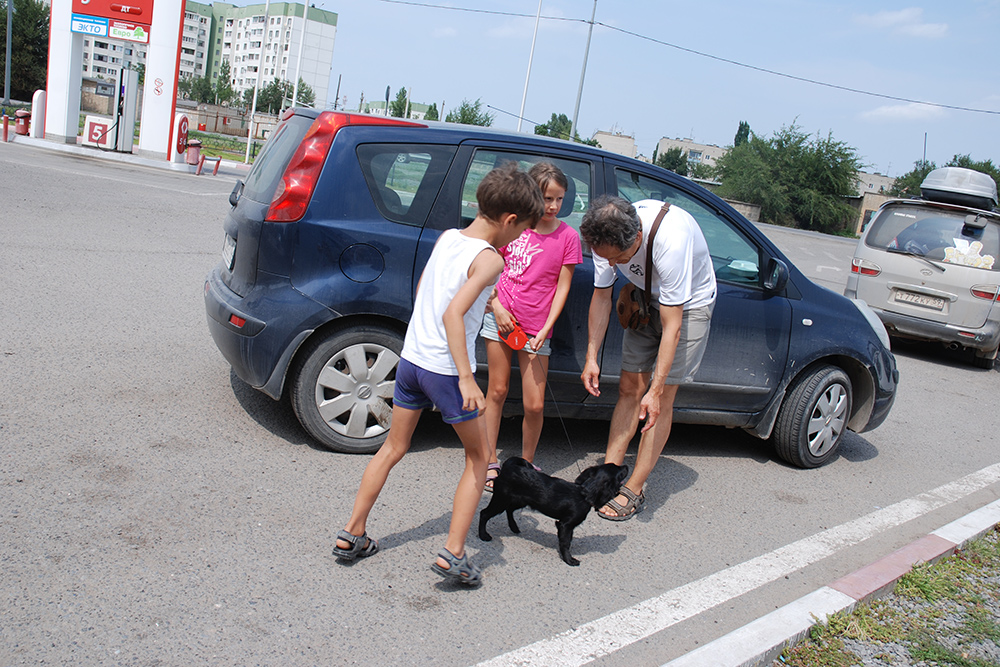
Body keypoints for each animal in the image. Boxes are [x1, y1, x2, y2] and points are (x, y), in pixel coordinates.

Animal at [480, 456, 628, 568]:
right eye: (619, 472)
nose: (626, 466)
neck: (584, 493)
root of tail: (508, 467)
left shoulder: (567, 526)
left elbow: (568, 540)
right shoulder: (565, 525)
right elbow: (565, 543)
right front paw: (569, 560)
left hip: (519, 501)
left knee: (509, 510)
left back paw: (514, 527)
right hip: (500, 500)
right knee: (484, 513)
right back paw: (484, 535)